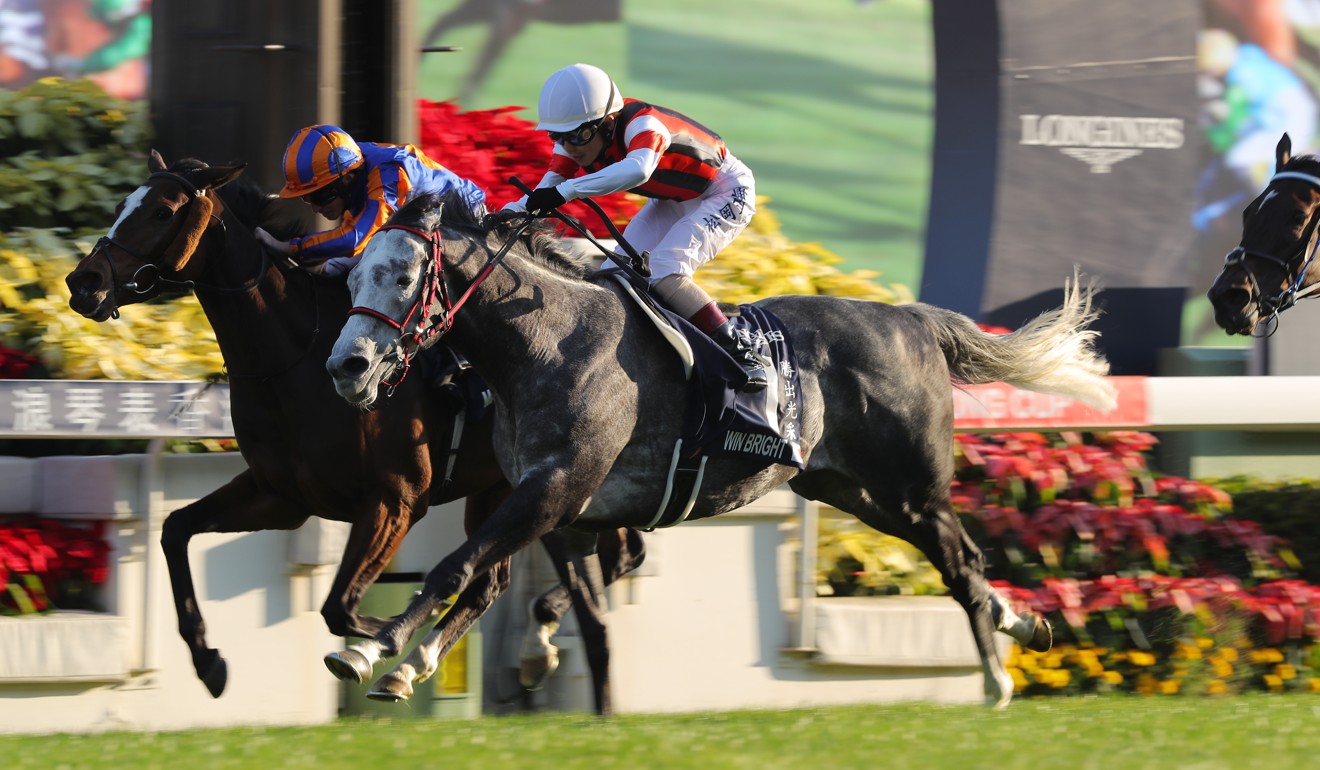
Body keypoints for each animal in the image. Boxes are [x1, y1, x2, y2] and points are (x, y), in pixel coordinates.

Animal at [63, 153, 644, 707]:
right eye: (123, 203)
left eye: (163, 211)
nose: (83, 283)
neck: (292, 355)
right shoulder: (281, 495)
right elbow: (174, 528)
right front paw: (209, 661)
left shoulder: (395, 499)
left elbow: (341, 609)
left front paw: (379, 649)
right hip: (507, 488)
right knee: (544, 574)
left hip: (549, 482)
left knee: (593, 577)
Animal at [319, 194, 1114, 713]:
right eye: (350, 277)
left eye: (402, 277)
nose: (347, 369)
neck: (544, 343)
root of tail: (912, 318)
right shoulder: (566, 509)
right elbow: (504, 586)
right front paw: (424, 661)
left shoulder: (557, 487)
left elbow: (458, 567)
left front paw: (370, 650)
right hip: (850, 490)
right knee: (962, 560)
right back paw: (1020, 625)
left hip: (911, 488)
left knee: (960, 562)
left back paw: (996, 679)